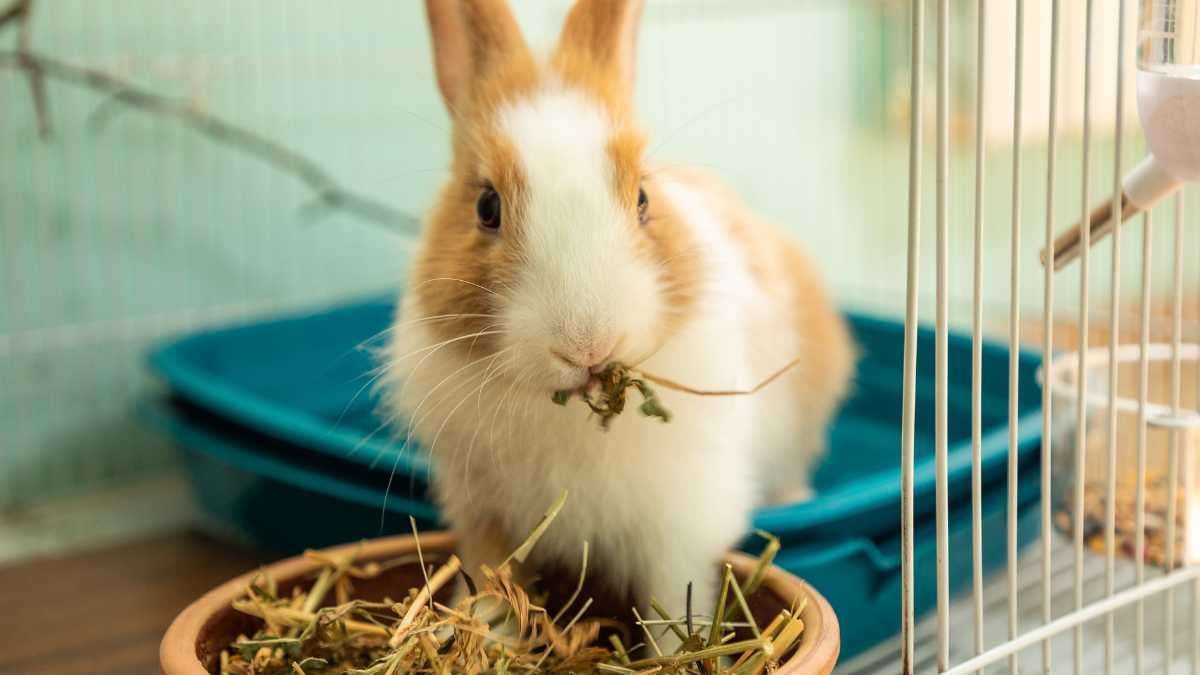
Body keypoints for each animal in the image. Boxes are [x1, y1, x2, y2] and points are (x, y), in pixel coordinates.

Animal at [382, 0, 855, 646]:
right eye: (486, 207)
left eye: (642, 199)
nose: (588, 345)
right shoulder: (485, 515)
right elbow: (494, 587)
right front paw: (492, 638)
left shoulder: (678, 524)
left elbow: (673, 604)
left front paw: (675, 651)